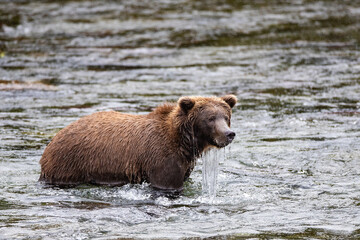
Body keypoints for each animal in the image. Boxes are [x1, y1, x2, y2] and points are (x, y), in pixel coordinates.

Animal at [39, 95, 238, 191]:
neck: (183, 142)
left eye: (225, 117)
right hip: (70, 163)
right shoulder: (162, 159)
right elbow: (167, 184)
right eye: (210, 118)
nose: (229, 134)